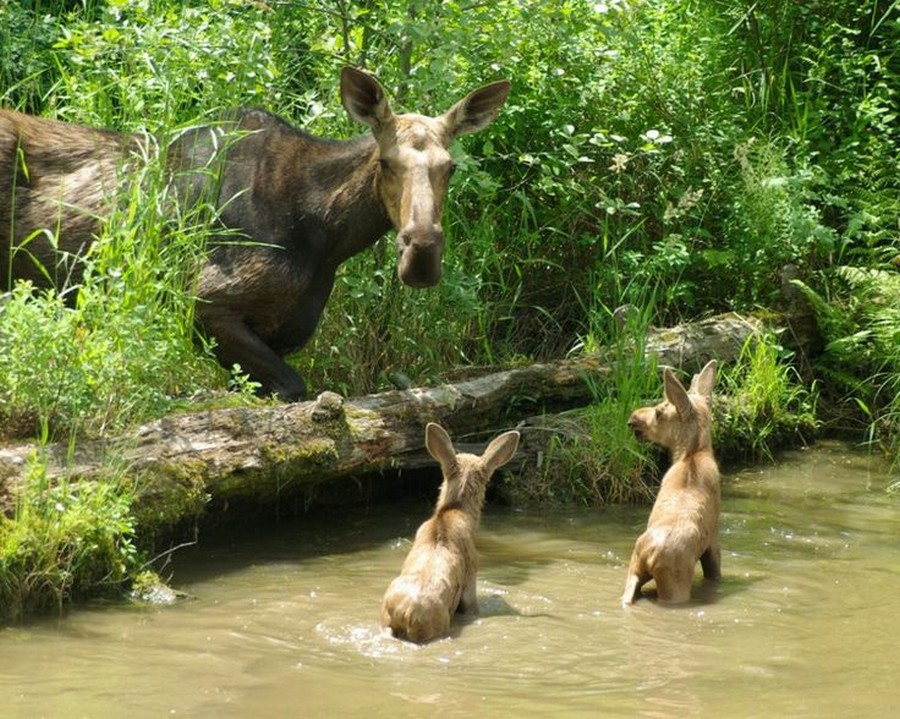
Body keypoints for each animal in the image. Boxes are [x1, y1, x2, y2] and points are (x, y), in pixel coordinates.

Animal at [0, 68, 510, 402]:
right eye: (385, 162)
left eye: (451, 166)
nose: (422, 255)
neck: (326, 239)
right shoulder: (203, 304)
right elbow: (293, 388)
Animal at [624, 360, 720, 608]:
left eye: (659, 411)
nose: (633, 417)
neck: (693, 452)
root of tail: (650, 554)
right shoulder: (713, 539)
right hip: (675, 586)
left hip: (634, 570)